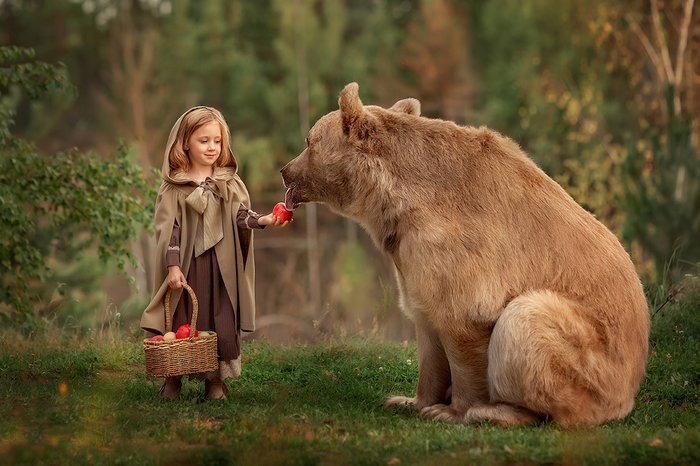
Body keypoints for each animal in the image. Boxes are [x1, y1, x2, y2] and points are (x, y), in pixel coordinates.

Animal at [281, 82, 650, 426]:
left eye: (308, 141)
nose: (285, 170)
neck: (396, 203)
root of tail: (629, 395)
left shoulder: (457, 248)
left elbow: (462, 322)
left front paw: (451, 410)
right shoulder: (412, 257)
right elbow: (425, 327)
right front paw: (409, 400)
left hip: (593, 362)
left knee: (527, 323)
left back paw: (496, 411)